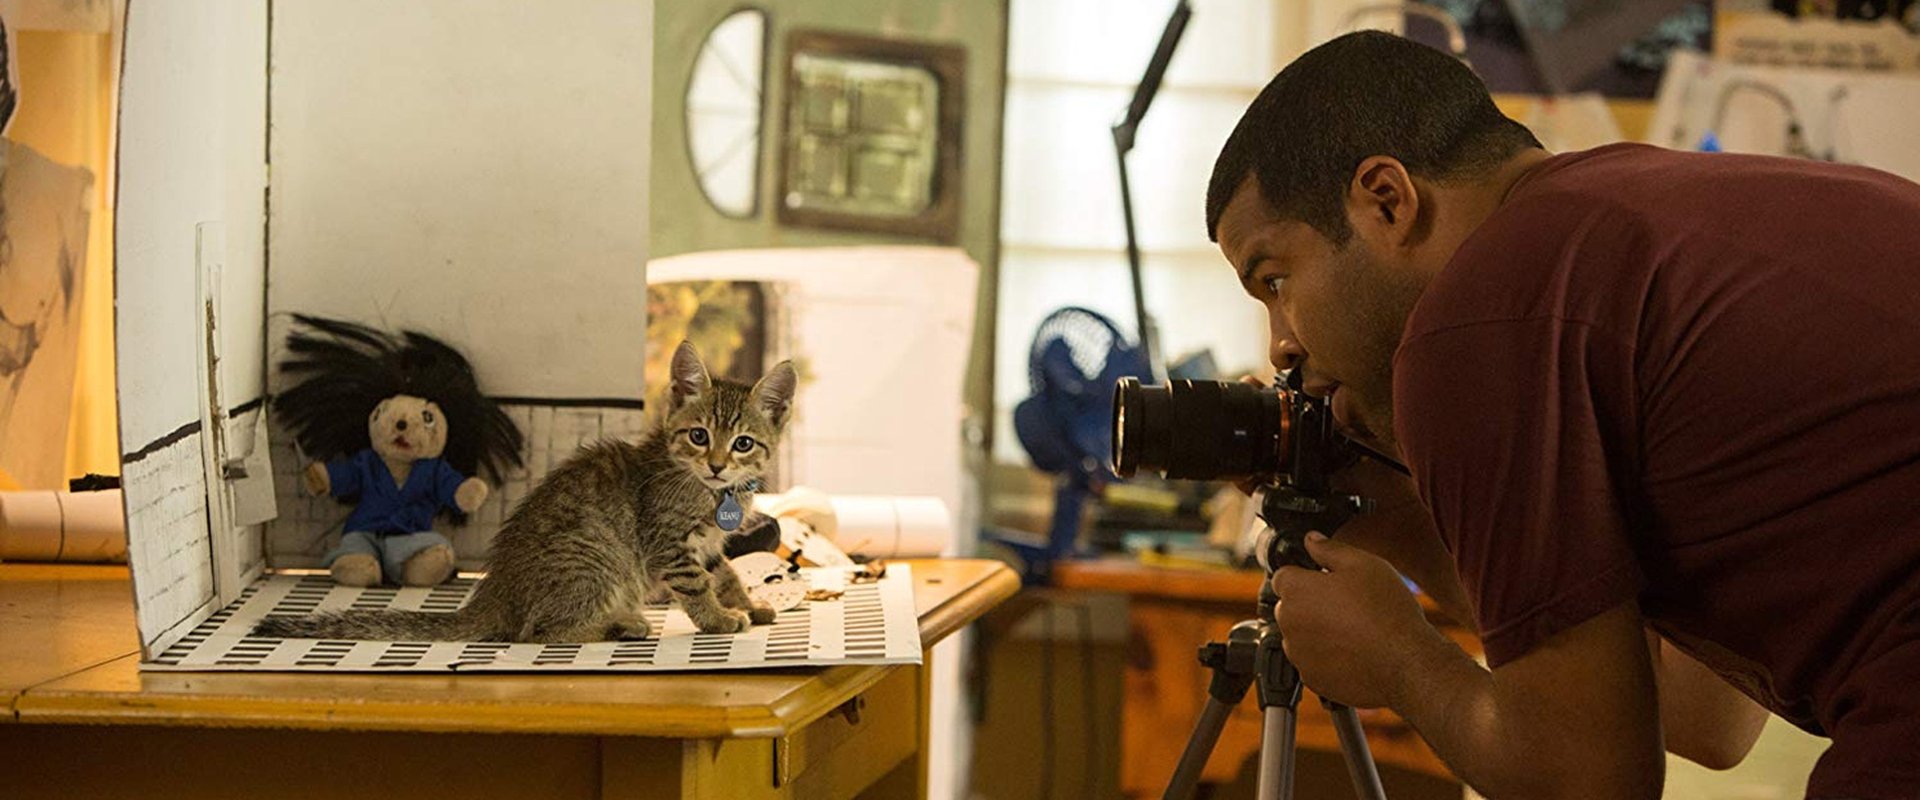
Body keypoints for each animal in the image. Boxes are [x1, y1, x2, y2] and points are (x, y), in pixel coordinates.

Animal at [255, 343, 794, 640]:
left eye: (743, 443)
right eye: (699, 436)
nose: (717, 465)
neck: (708, 491)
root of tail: (495, 594)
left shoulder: (707, 545)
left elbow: (725, 574)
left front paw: (747, 605)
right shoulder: (669, 544)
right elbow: (698, 585)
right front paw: (719, 620)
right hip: (596, 560)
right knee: (537, 631)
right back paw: (619, 625)